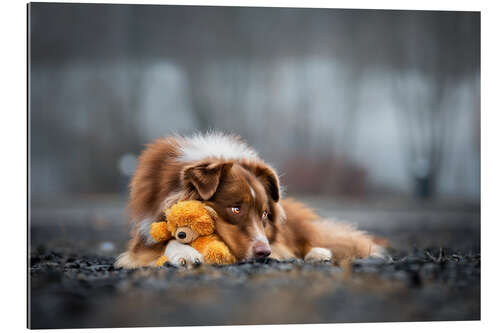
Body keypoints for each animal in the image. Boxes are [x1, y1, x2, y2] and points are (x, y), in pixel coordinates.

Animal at [114, 132, 386, 268]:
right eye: (235, 209)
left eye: (264, 214)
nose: (264, 253)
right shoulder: (143, 237)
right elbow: (164, 243)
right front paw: (185, 253)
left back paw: (318, 253)